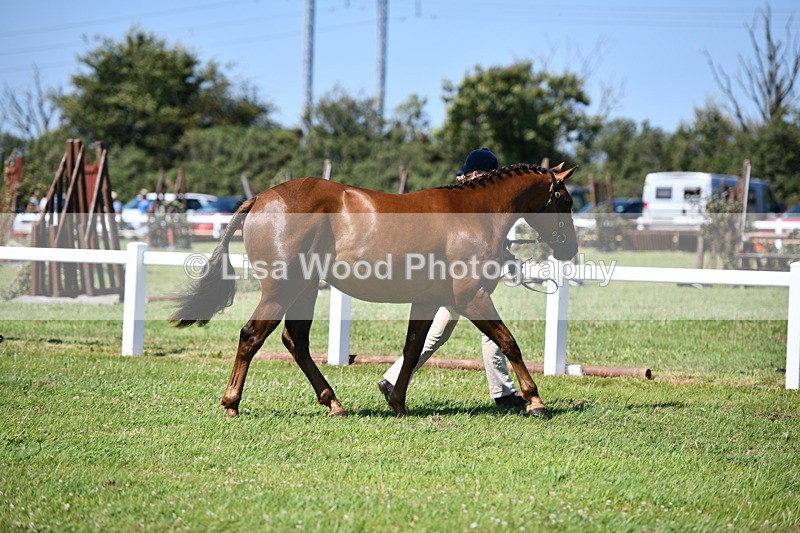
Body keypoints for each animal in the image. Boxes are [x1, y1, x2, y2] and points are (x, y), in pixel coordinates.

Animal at [171, 162, 578, 419]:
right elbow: (509, 342)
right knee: (252, 336)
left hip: (304, 290)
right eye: (566, 201)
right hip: (281, 290)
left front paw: (397, 401)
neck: (471, 214)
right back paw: (232, 403)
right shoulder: (471, 297)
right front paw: (534, 400)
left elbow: (413, 348)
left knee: (295, 340)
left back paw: (333, 403)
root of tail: (260, 199)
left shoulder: (428, 301)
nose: (570, 250)